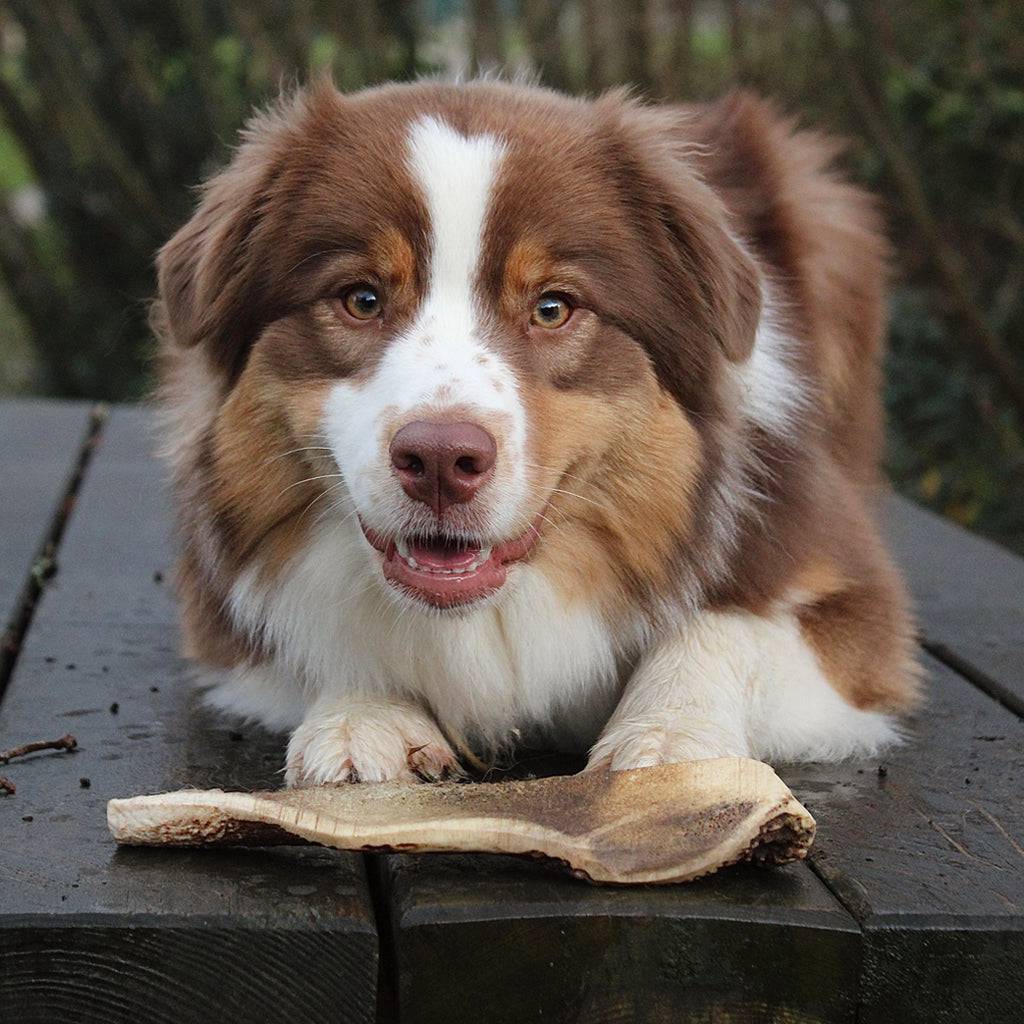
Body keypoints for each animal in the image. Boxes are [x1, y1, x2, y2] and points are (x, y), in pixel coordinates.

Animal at [155, 79, 925, 782]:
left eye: (553, 308)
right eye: (361, 299)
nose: (440, 460)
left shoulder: (851, 591)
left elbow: (728, 624)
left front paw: (673, 734)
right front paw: (364, 713)